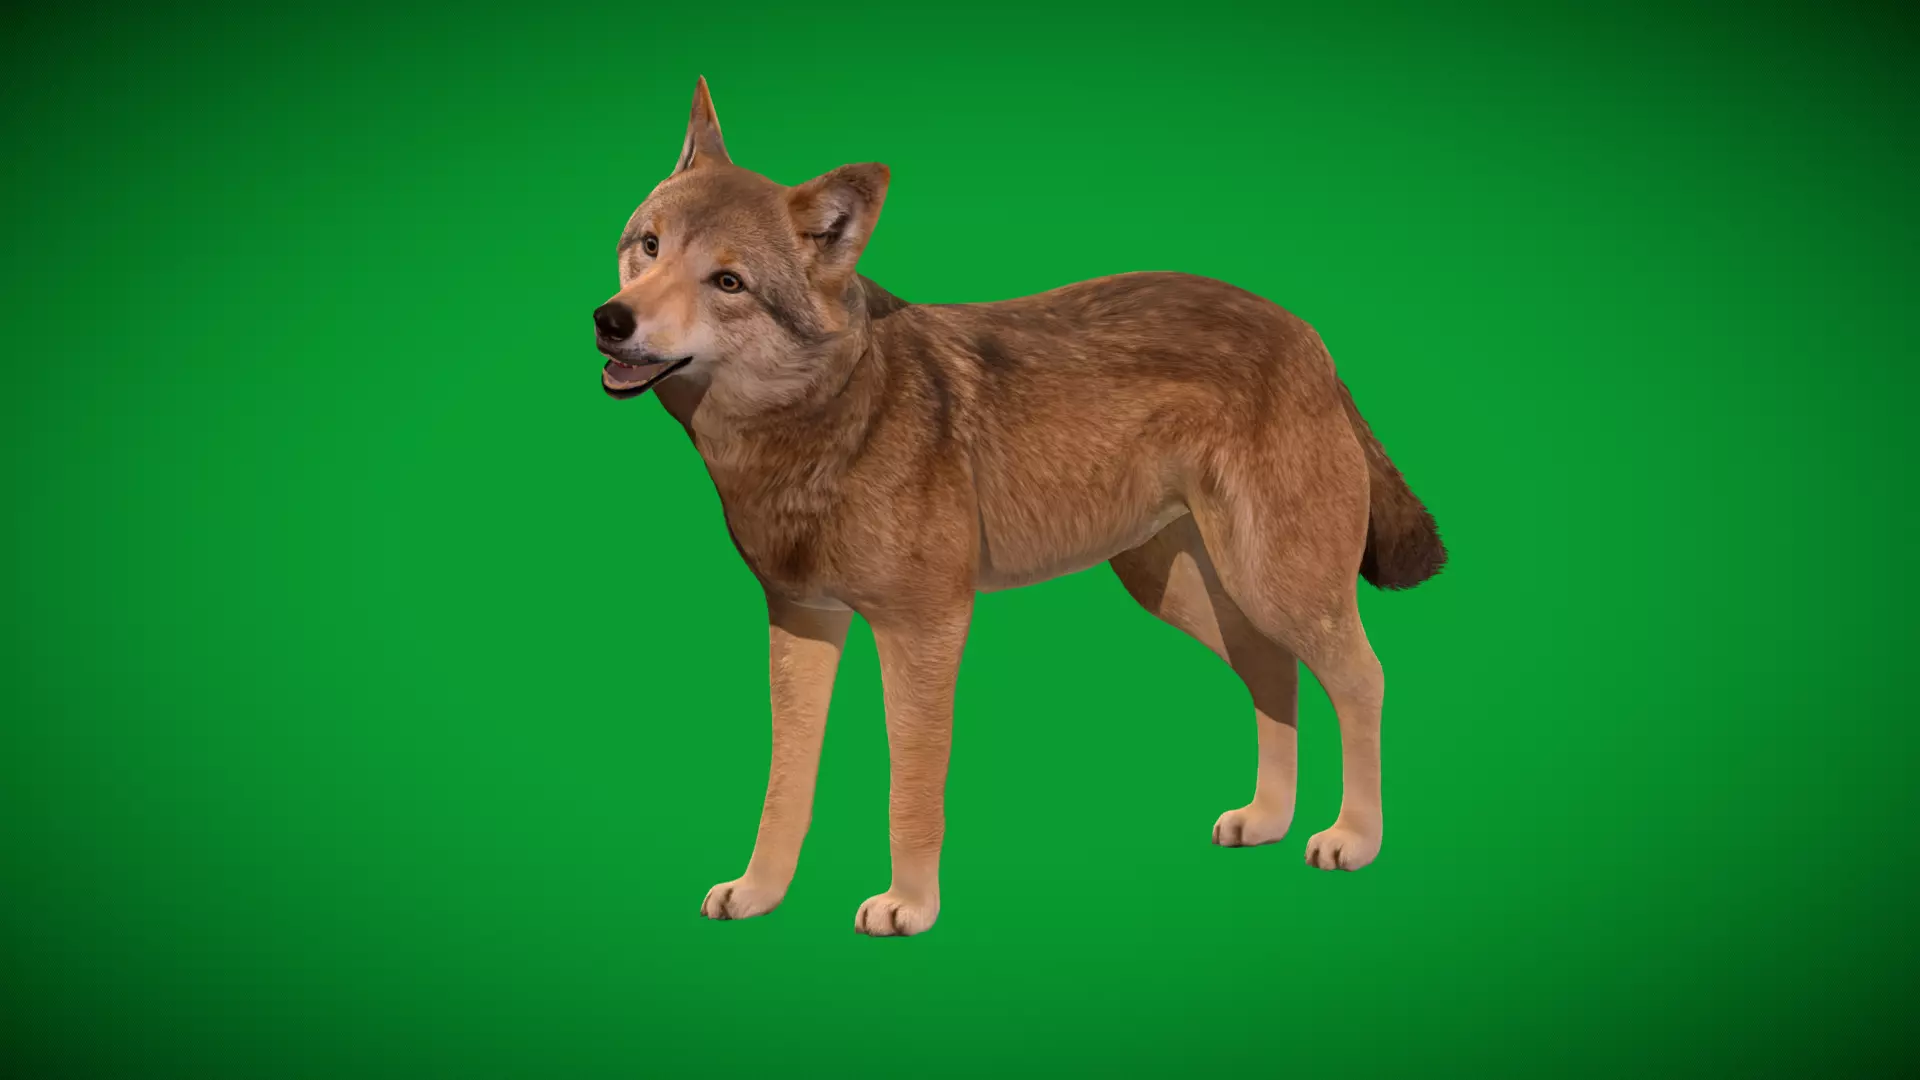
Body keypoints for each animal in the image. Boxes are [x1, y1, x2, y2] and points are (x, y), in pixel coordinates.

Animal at [594, 78, 1446, 937]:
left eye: (728, 283)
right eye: (649, 247)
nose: (611, 319)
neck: (822, 420)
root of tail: (1309, 337)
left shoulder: (926, 628)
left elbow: (912, 790)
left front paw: (909, 905)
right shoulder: (802, 621)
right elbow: (784, 787)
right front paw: (759, 892)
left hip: (1276, 586)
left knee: (1363, 678)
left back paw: (1352, 837)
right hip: (1189, 593)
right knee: (1275, 671)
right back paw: (1267, 819)